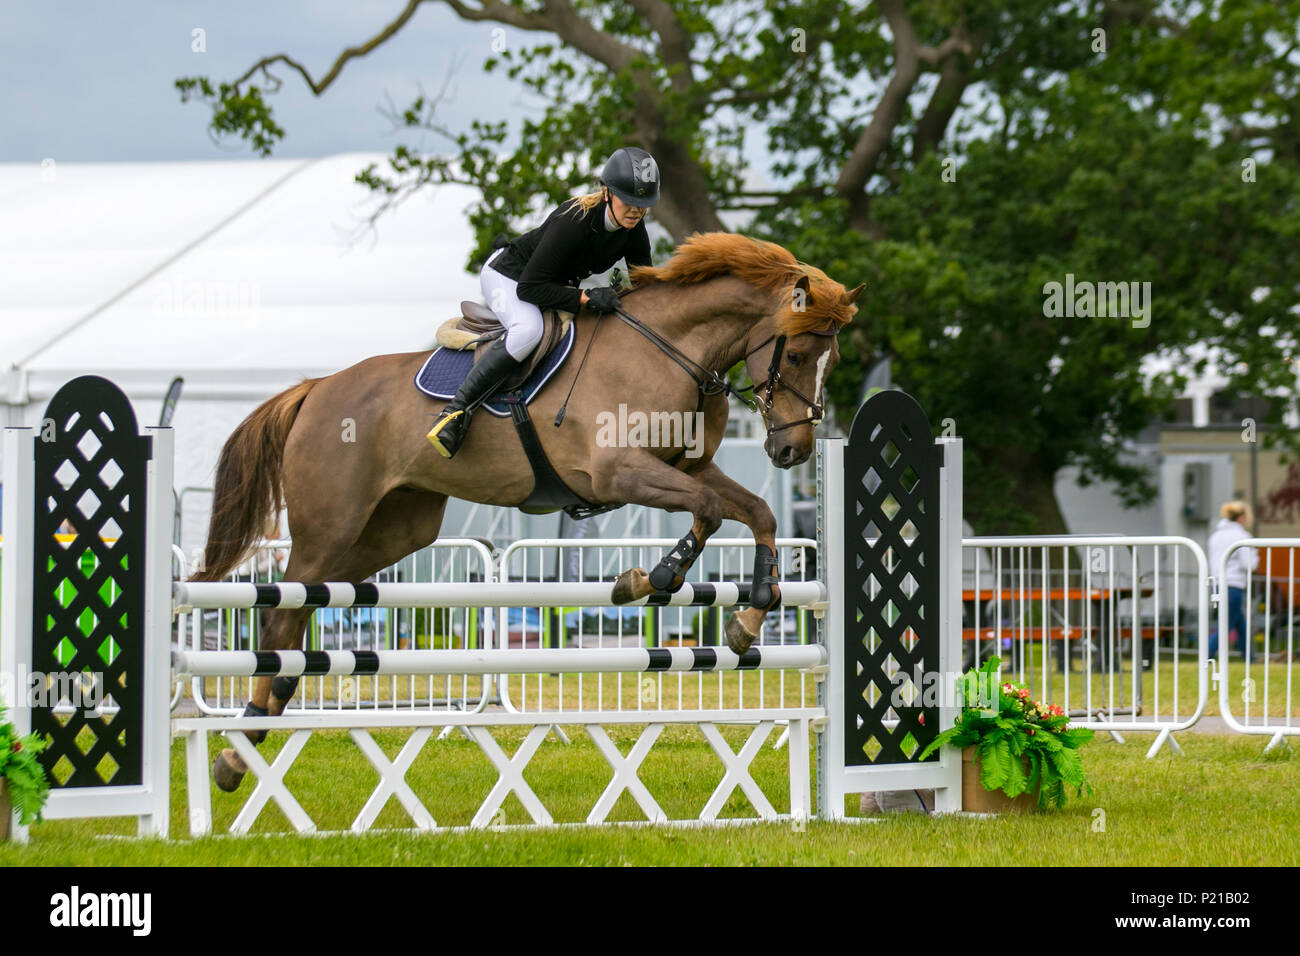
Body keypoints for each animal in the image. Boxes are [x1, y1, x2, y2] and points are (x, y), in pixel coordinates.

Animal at [195, 227, 863, 790]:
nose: (792, 450)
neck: (671, 349)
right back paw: (240, 746)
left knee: (310, 607)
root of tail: (313, 389)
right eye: (796, 356)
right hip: (329, 525)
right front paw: (650, 577)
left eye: (830, 360)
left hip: (395, 530)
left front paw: (747, 618)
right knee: (282, 612)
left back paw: (262, 718)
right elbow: (708, 512)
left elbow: (757, 513)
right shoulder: (621, 472)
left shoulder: (689, 468)